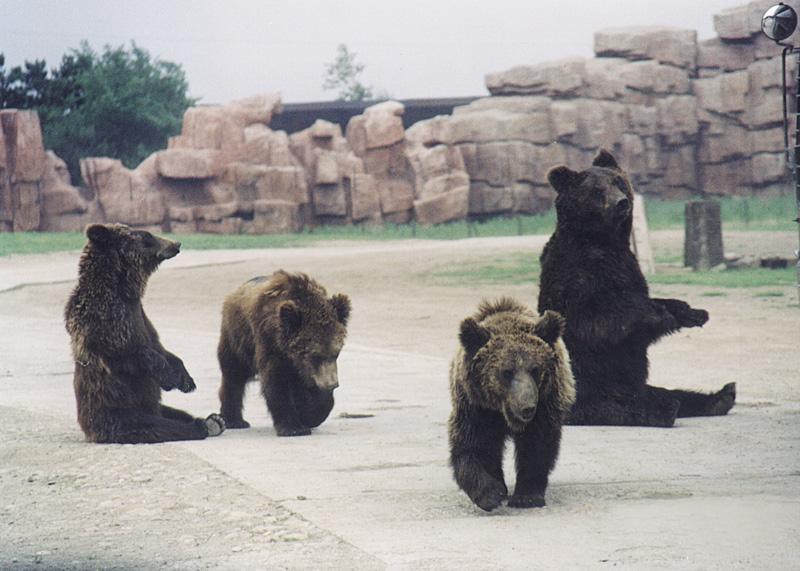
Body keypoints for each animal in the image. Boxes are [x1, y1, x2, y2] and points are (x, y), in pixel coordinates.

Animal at [61, 226, 225, 444]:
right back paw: (200, 426)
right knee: (150, 424)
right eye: (147, 236)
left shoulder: (141, 314)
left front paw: (186, 380)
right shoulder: (102, 316)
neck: (122, 289)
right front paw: (170, 377)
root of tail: (87, 430)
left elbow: (158, 344)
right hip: (114, 409)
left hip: (150, 405)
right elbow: (126, 352)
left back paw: (214, 420)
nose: (176, 243)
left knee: (171, 412)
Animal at [216, 272, 350, 438]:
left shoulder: (306, 367)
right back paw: (234, 420)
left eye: (336, 353)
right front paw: (293, 427)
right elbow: (277, 384)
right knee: (234, 375)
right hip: (237, 339)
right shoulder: (269, 344)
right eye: (315, 355)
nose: (332, 384)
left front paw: (310, 414)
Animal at [450, 300, 576, 512]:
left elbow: (536, 446)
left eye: (535, 369)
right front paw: (490, 493)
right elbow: (473, 447)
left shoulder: (544, 406)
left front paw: (526, 496)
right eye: (507, 372)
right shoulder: (476, 409)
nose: (527, 407)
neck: (502, 412)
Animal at [536, 150, 736, 426]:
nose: (621, 203)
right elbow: (600, 318)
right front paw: (661, 314)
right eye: (597, 190)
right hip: (582, 380)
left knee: (666, 391)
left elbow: (647, 311)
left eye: (618, 182)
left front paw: (693, 312)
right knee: (614, 401)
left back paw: (721, 396)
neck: (603, 240)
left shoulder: (629, 265)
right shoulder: (576, 278)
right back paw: (664, 409)